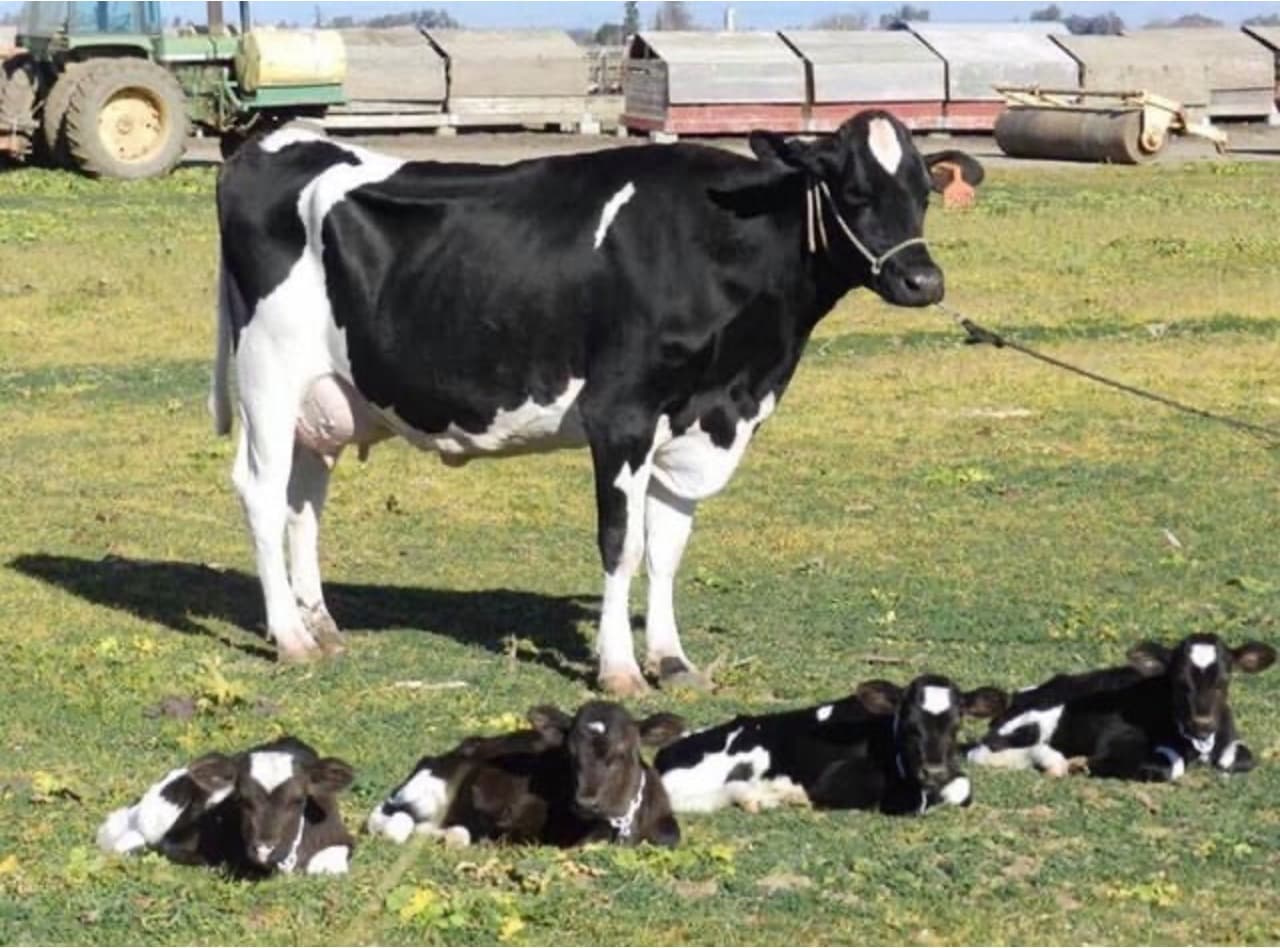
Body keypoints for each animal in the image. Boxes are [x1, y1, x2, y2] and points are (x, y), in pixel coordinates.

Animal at [209, 114, 984, 693]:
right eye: (852, 189)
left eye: (922, 190)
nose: (924, 280)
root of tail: (271, 144)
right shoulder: (622, 414)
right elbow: (624, 542)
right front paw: (619, 669)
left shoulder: (698, 419)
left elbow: (667, 547)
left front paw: (671, 659)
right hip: (268, 370)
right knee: (260, 490)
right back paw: (290, 638)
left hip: (325, 395)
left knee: (304, 496)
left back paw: (321, 624)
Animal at [967, 634, 1276, 782]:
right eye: (1178, 681)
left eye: (1225, 679)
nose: (1202, 723)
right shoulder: (1117, 740)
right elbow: (1169, 766)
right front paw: (1081, 764)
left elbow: (1243, 757)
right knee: (983, 751)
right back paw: (1056, 762)